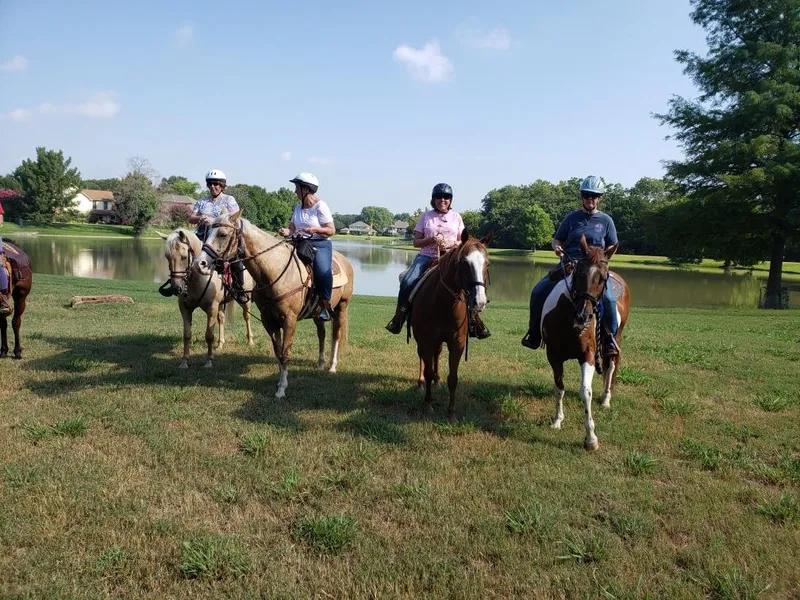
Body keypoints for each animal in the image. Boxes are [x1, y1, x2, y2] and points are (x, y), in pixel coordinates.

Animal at [158, 230, 255, 370]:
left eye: (184, 257)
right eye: (167, 257)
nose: (176, 288)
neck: (199, 278)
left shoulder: (211, 308)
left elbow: (209, 335)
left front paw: (208, 361)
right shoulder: (185, 309)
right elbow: (187, 335)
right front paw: (184, 361)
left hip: (246, 300)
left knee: (247, 317)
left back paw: (250, 341)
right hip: (221, 304)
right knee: (221, 319)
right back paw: (220, 344)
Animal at [195, 211, 354, 398]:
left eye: (222, 234)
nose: (200, 263)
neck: (274, 272)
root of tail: (345, 261)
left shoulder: (289, 320)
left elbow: (285, 353)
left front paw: (282, 389)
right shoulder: (269, 320)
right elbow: (278, 352)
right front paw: (279, 383)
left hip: (341, 307)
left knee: (336, 334)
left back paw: (332, 366)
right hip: (318, 312)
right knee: (321, 334)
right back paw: (321, 363)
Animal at [412, 230, 494, 422]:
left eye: (487, 263)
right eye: (464, 262)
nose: (480, 301)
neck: (442, 303)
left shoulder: (457, 343)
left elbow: (453, 378)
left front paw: (451, 413)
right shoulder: (426, 340)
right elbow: (427, 371)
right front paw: (428, 405)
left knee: (437, 354)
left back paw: (437, 380)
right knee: (422, 358)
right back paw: (421, 383)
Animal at [540, 234, 628, 450]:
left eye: (603, 278)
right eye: (578, 274)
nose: (583, 316)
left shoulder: (587, 355)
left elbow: (585, 392)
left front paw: (591, 438)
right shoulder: (553, 355)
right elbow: (559, 387)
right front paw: (557, 420)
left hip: (616, 338)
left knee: (611, 366)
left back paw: (606, 399)